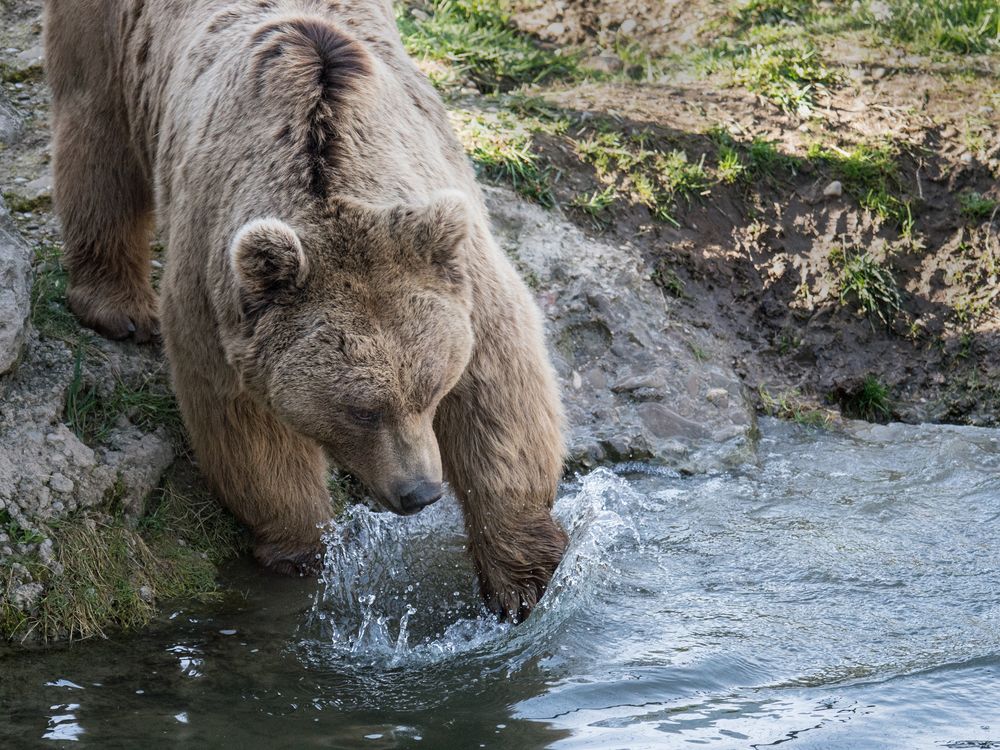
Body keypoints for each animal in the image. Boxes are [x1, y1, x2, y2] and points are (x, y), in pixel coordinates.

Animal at [43, 0, 568, 624]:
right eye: (362, 410)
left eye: (431, 389)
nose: (419, 492)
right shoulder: (218, 295)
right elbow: (244, 427)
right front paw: (302, 548)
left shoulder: (455, 267)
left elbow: (499, 388)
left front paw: (521, 577)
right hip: (115, 37)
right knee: (96, 127)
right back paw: (117, 307)